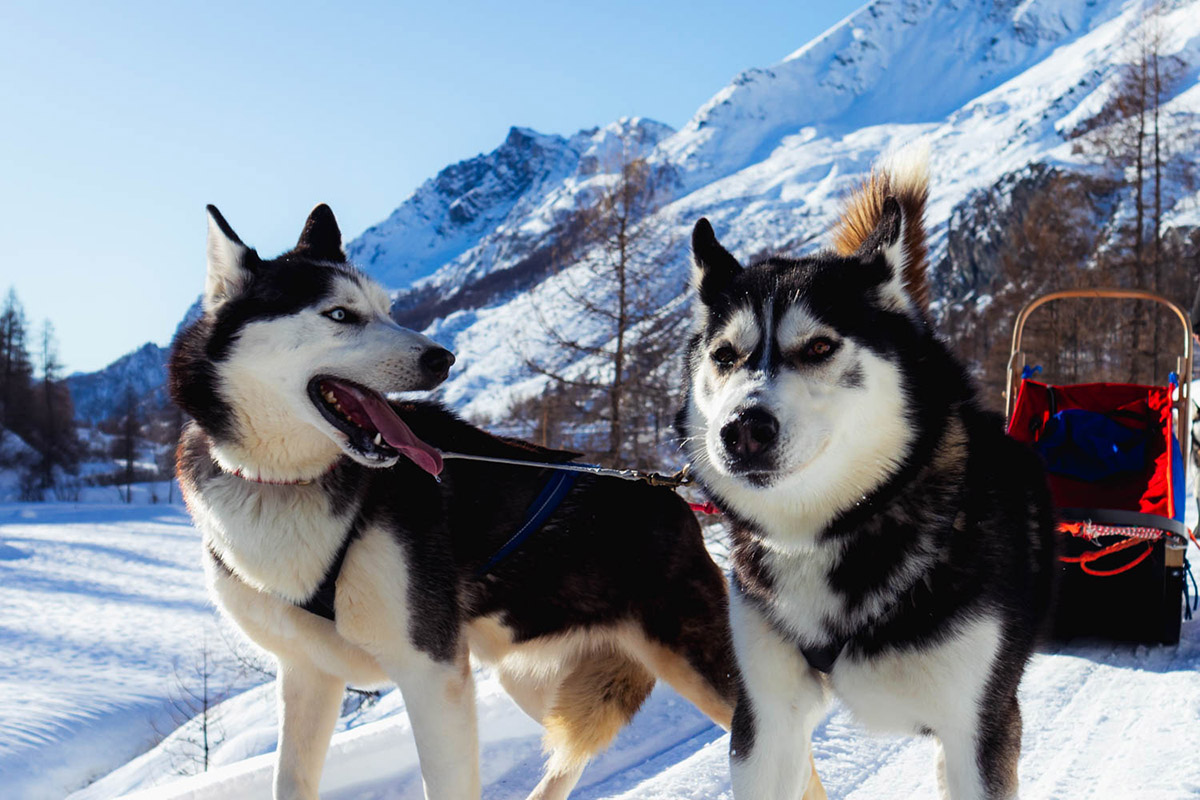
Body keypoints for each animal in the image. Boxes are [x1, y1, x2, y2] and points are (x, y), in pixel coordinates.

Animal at [171, 205, 816, 800]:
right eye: (339, 315)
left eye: (387, 309)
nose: (442, 357)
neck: (286, 481)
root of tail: (667, 493)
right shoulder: (308, 677)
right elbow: (291, 778)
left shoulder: (431, 673)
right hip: (527, 675)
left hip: (705, 668)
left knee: (800, 769)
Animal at [681, 158, 1056, 800]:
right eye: (725, 356)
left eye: (819, 346)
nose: (742, 430)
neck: (824, 533)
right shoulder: (765, 723)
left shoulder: (980, 726)